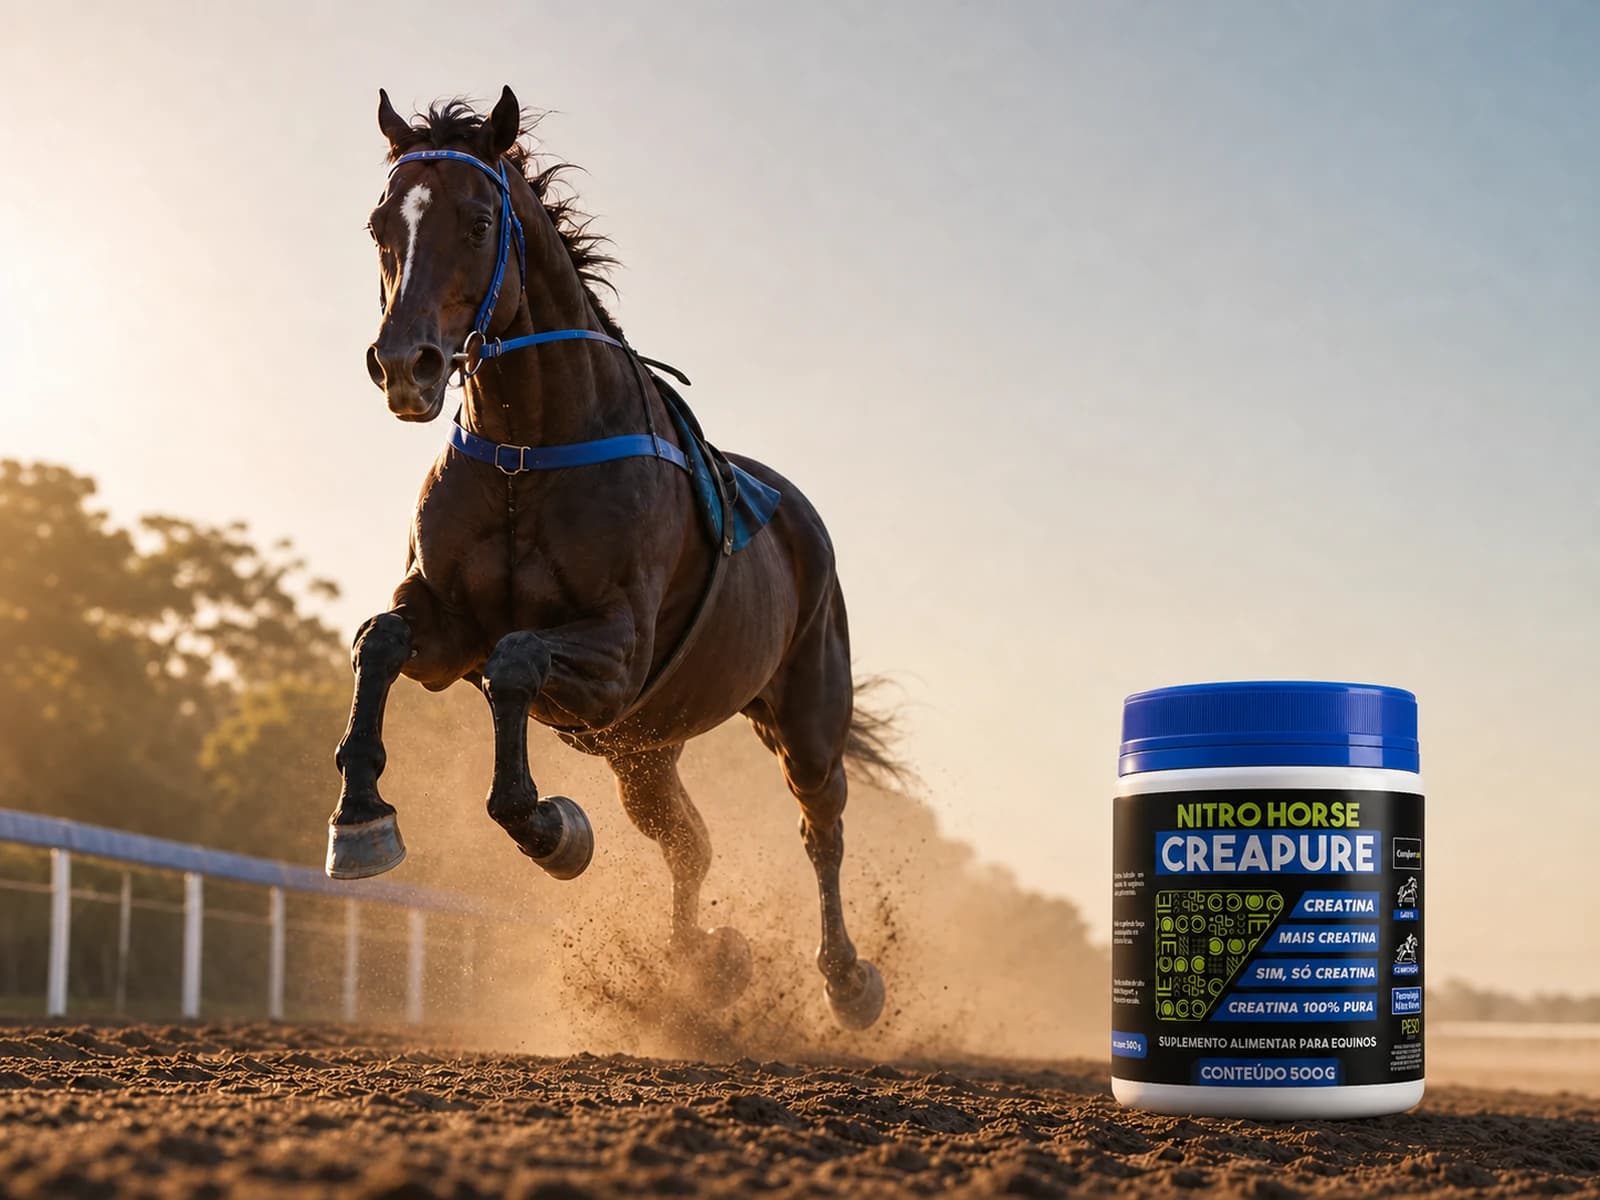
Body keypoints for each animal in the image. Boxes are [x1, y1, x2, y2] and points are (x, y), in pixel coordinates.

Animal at [330, 86, 896, 1029]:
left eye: (479, 221)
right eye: (381, 223)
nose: (404, 364)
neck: (530, 449)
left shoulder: (619, 656)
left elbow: (518, 661)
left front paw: (552, 828)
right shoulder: (449, 629)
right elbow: (383, 640)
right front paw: (360, 817)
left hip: (803, 708)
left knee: (822, 825)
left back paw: (846, 981)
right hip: (645, 749)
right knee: (689, 844)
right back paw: (701, 966)